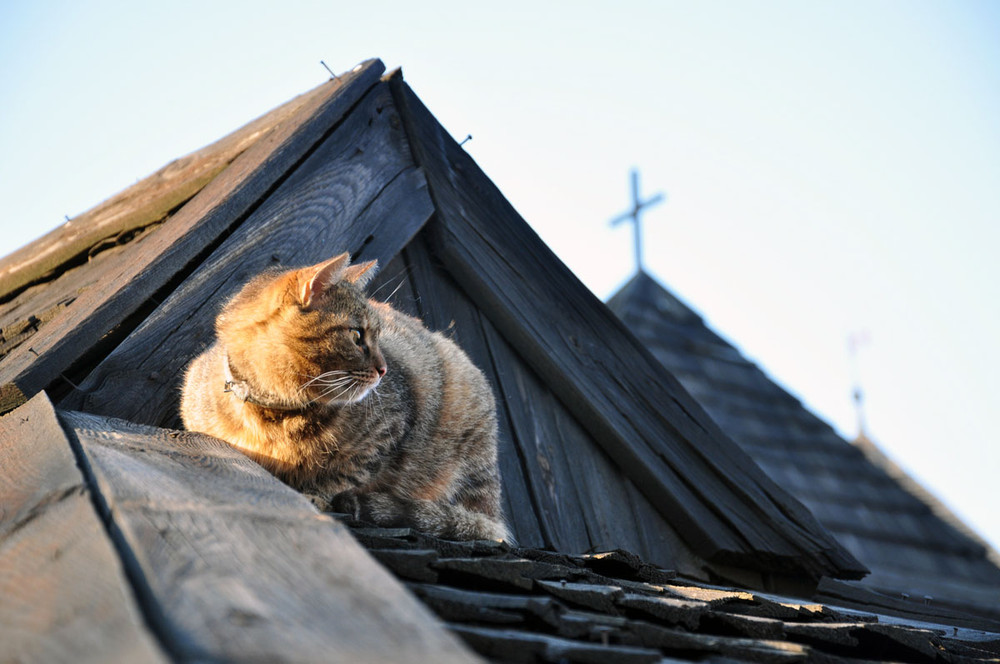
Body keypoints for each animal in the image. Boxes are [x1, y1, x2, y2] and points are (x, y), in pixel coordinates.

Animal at [180, 252, 508, 544]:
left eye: (378, 336)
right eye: (357, 335)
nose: (384, 369)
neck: (280, 413)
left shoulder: (386, 434)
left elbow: (345, 476)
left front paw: (318, 495)